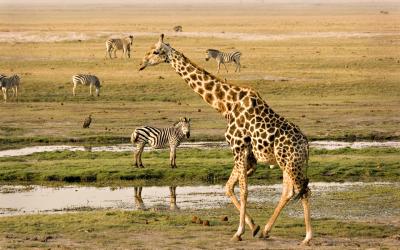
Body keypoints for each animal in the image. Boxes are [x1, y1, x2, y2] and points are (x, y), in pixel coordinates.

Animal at [138, 34, 312, 245]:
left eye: (155, 51)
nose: (142, 63)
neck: (226, 105)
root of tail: (306, 145)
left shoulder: (238, 147)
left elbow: (243, 190)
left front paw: (238, 232)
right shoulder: (247, 156)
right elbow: (229, 187)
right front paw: (254, 227)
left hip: (291, 162)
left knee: (304, 191)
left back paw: (307, 238)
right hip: (286, 162)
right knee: (289, 191)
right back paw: (266, 230)